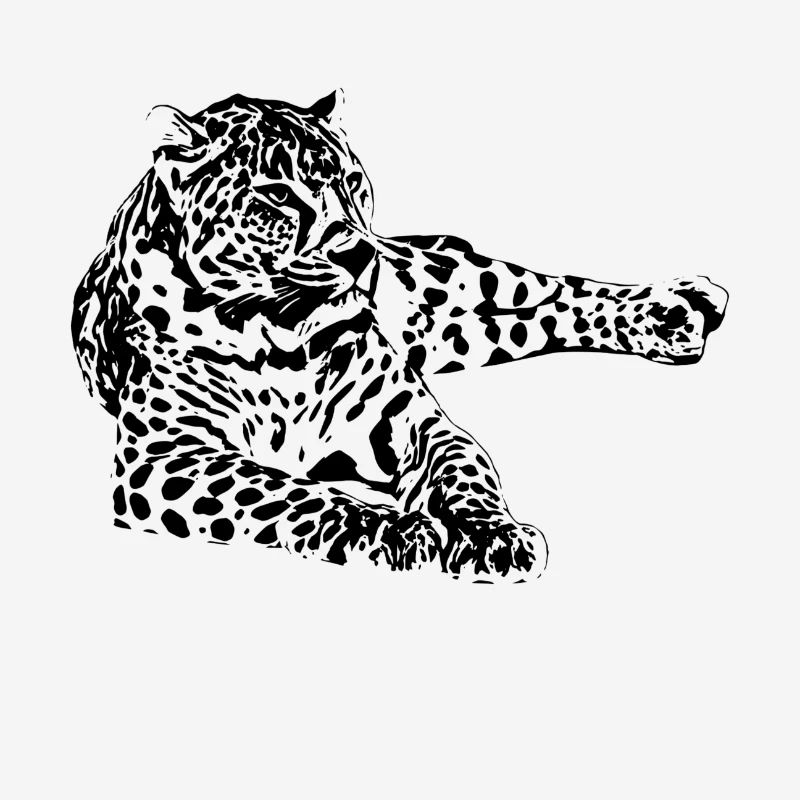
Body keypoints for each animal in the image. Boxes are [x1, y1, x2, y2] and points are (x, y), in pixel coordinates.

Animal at [72, 91, 728, 582]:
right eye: (277, 196)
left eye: (353, 182)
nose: (359, 254)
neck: (284, 343)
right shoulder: (164, 458)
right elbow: (294, 495)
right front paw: (400, 536)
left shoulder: (418, 424)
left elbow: (467, 473)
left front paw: (495, 535)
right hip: (457, 332)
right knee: (525, 317)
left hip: (444, 285)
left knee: (549, 290)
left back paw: (678, 309)